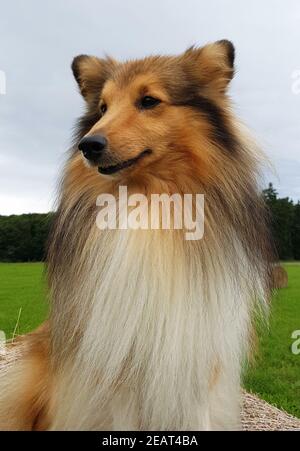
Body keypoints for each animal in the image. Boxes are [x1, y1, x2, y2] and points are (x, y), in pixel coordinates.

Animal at [0, 41, 274, 430]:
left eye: (148, 101)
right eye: (102, 108)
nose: (88, 145)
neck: (149, 206)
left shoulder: (197, 361)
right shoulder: (116, 363)